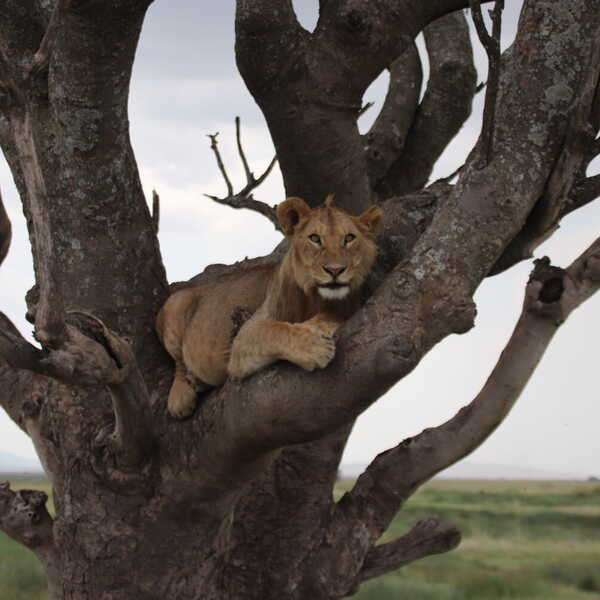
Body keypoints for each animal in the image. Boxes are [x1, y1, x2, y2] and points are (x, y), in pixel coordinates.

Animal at [155, 196, 380, 418]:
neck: (316, 297)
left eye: (349, 238)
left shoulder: (349, 305)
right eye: (315, 238)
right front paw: (316, 347)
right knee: (179, 362)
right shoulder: (244, 337)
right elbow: (277, 331)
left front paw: (316, 326)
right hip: (176, 303)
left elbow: (331, 316)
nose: (335, 270)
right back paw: (182, 394)